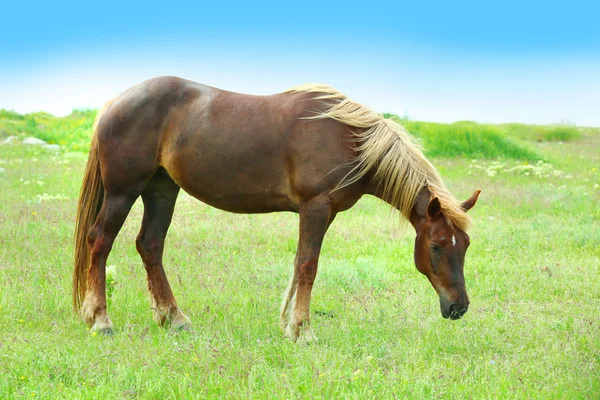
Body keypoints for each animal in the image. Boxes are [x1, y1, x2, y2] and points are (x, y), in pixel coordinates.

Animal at [72, 76, 480, 342]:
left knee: (150, 245)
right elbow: (308, 266)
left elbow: (299, 265)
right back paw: (101, 320)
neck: (351, 139)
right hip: (123, 192)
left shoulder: (322, 213)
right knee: (100, 241)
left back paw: (174, 319)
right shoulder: (316, 208)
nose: (459, 307)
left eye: (465, 245)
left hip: (161, 190)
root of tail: (113, 104)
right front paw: (303, 331)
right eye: (436, 246)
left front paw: (289, 325)